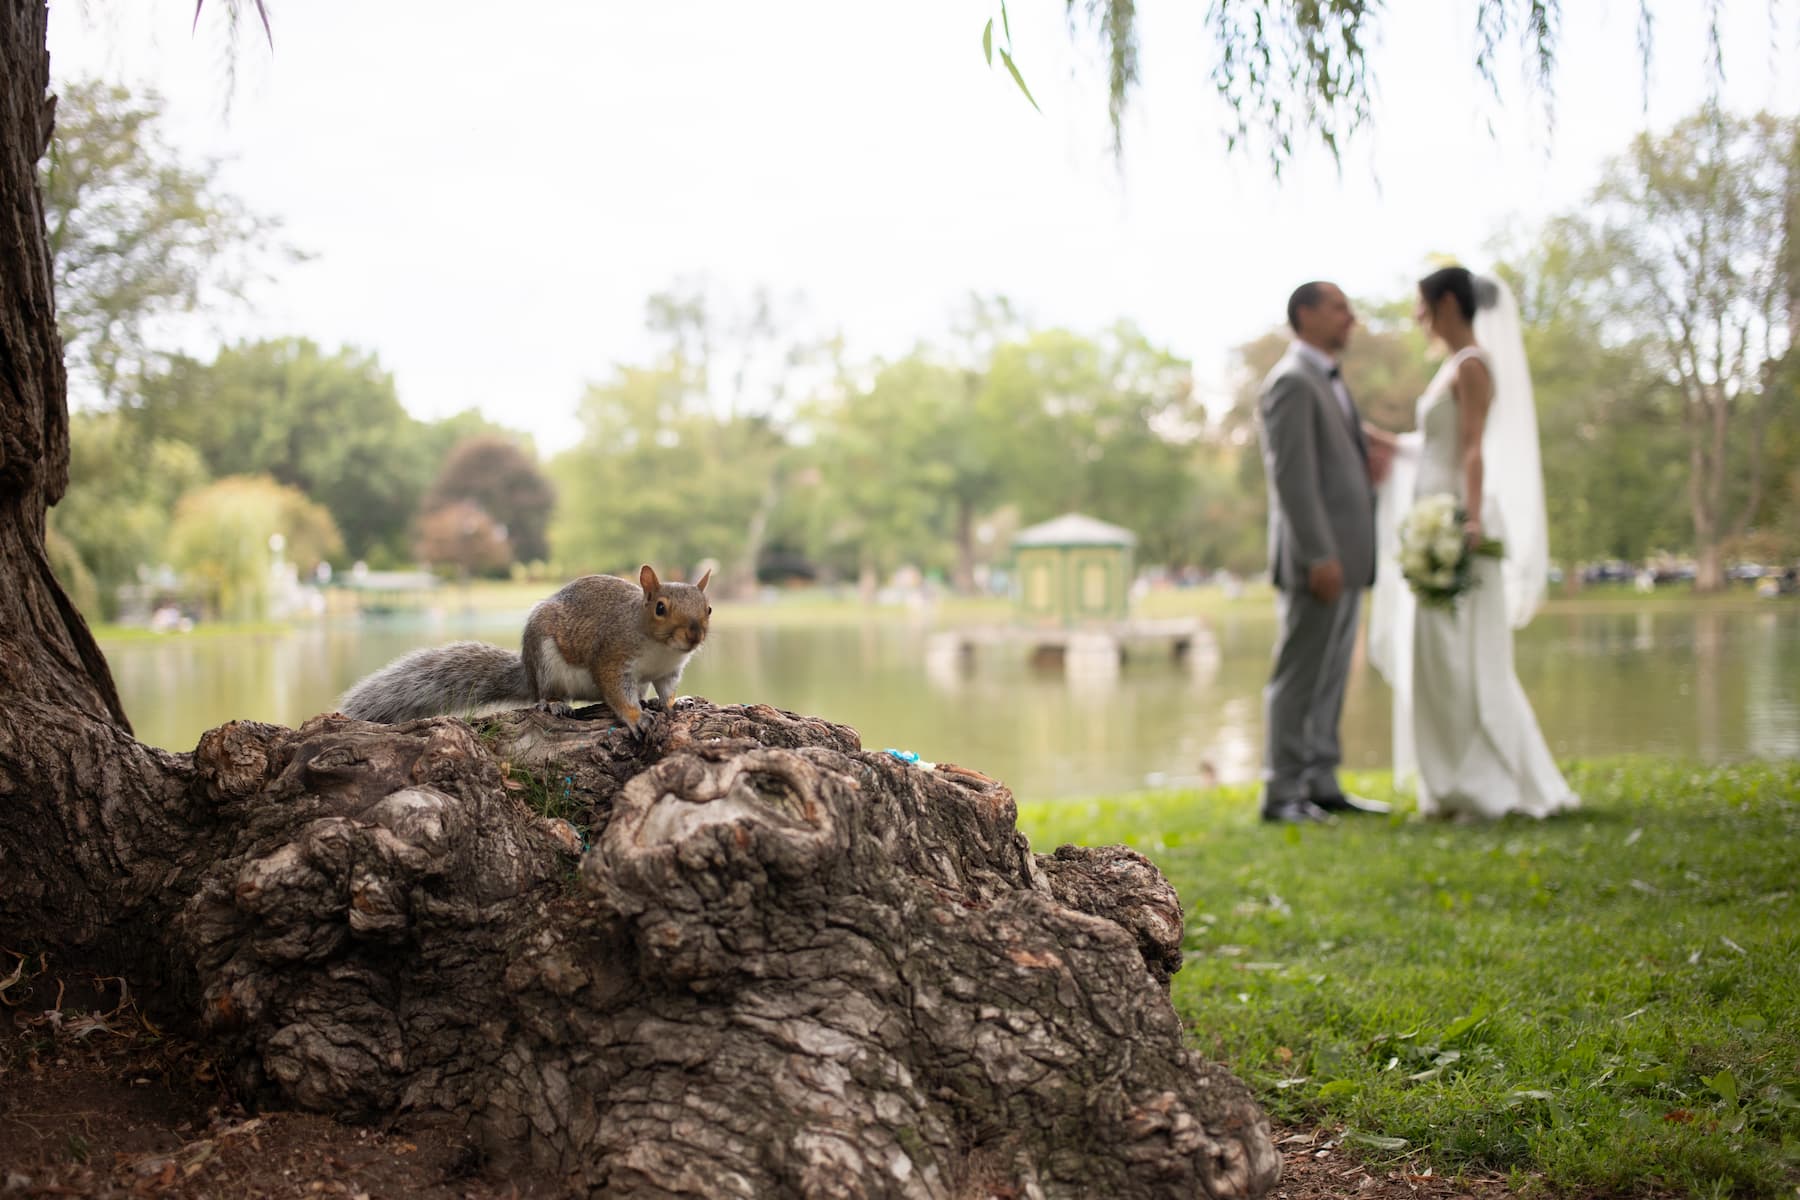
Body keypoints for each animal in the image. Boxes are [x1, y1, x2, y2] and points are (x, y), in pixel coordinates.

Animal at [337, 564, 711, 733]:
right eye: (660, 608)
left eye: (707, 608)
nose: (694, 636)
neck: (659, 649)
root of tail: (528, 673)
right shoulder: (612, 656)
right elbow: (617, 693)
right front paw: (636, 718)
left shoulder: (667, 671)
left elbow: (667, 691)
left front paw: (674, 703)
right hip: (546, 663)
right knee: (544, 694)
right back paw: (554, 703)